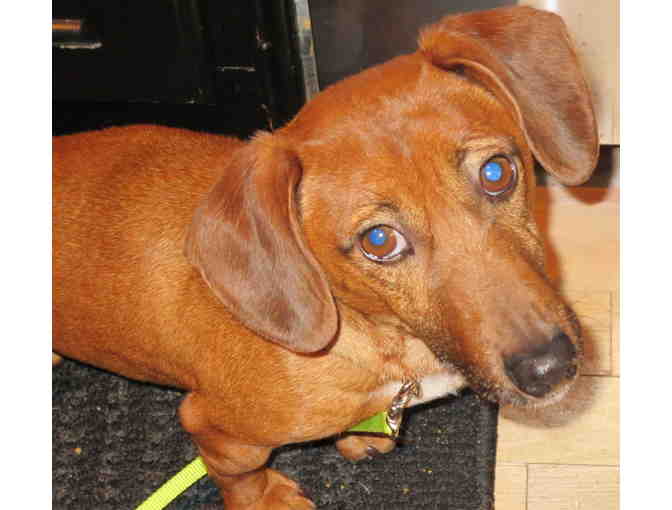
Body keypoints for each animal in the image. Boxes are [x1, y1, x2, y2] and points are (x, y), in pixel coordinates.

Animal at [53, 6, 598, 509]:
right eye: (379, 241)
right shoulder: (215, 429)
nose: (551, 368)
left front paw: (358, 436)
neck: (379, 335)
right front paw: (267, 499)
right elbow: (240, 479)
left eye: (496, 172)